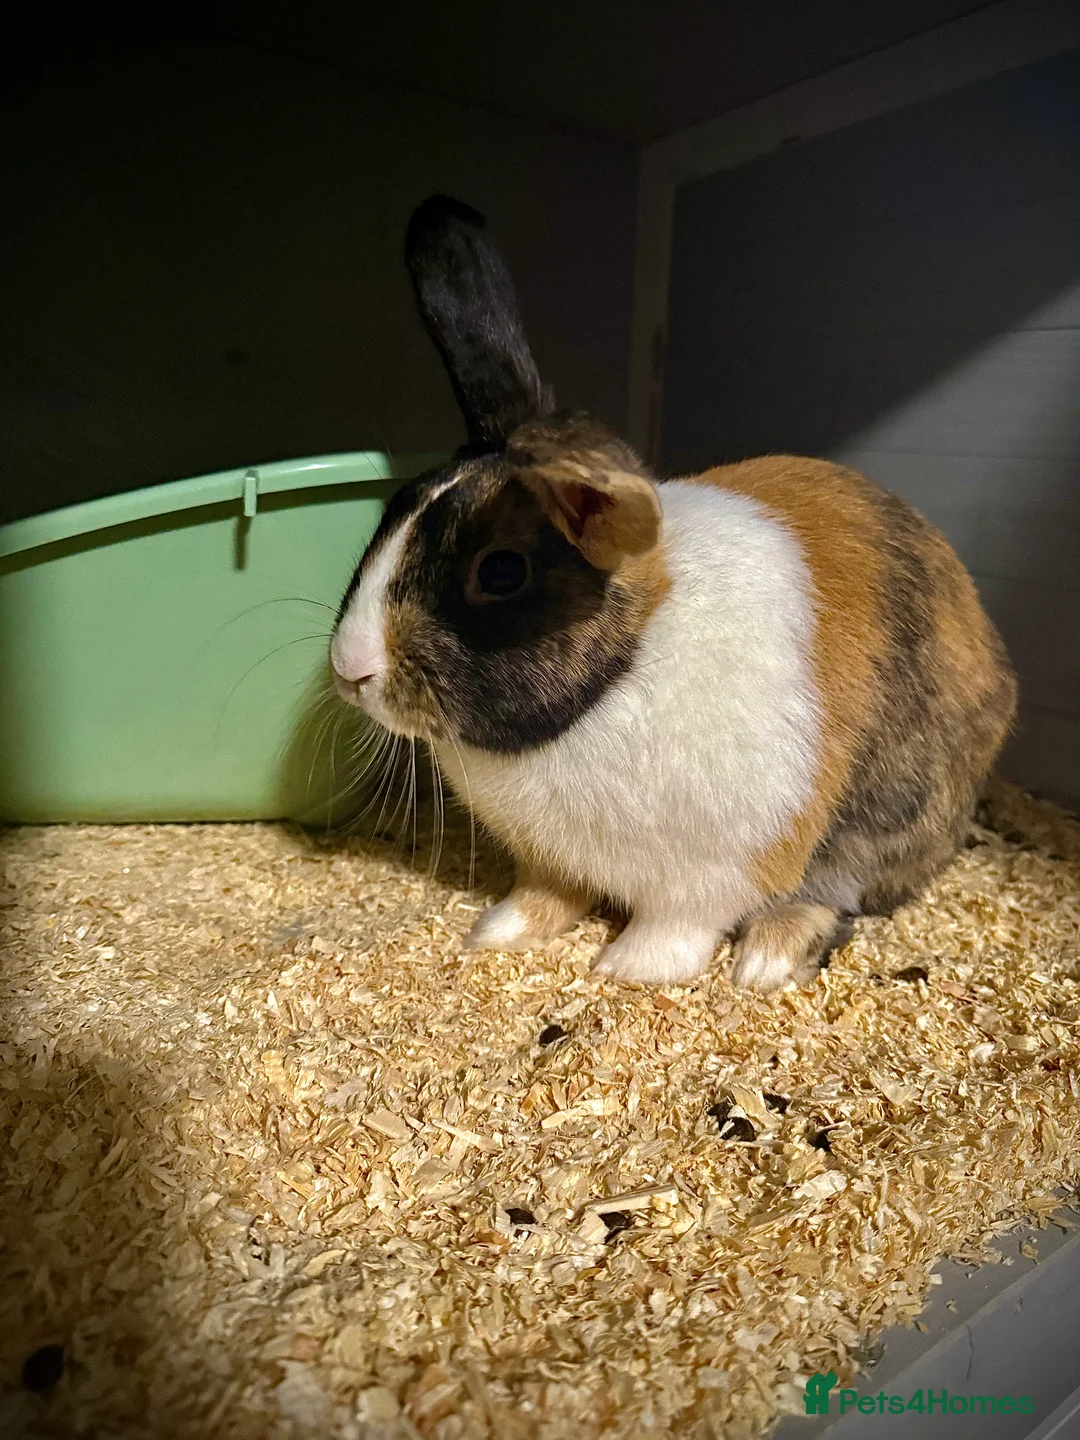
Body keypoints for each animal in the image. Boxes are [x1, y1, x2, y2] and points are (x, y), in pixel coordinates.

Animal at [329, 193, 1017, 990]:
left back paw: (766, 961)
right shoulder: (551, 859)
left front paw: (626, 970)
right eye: (390, 512)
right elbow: (546, 894)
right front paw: (499, 932)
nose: (349, 671)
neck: (616, 677)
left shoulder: (711, 874)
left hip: (882, 819)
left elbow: (676, 926)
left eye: (500, 573)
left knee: (837, 894)